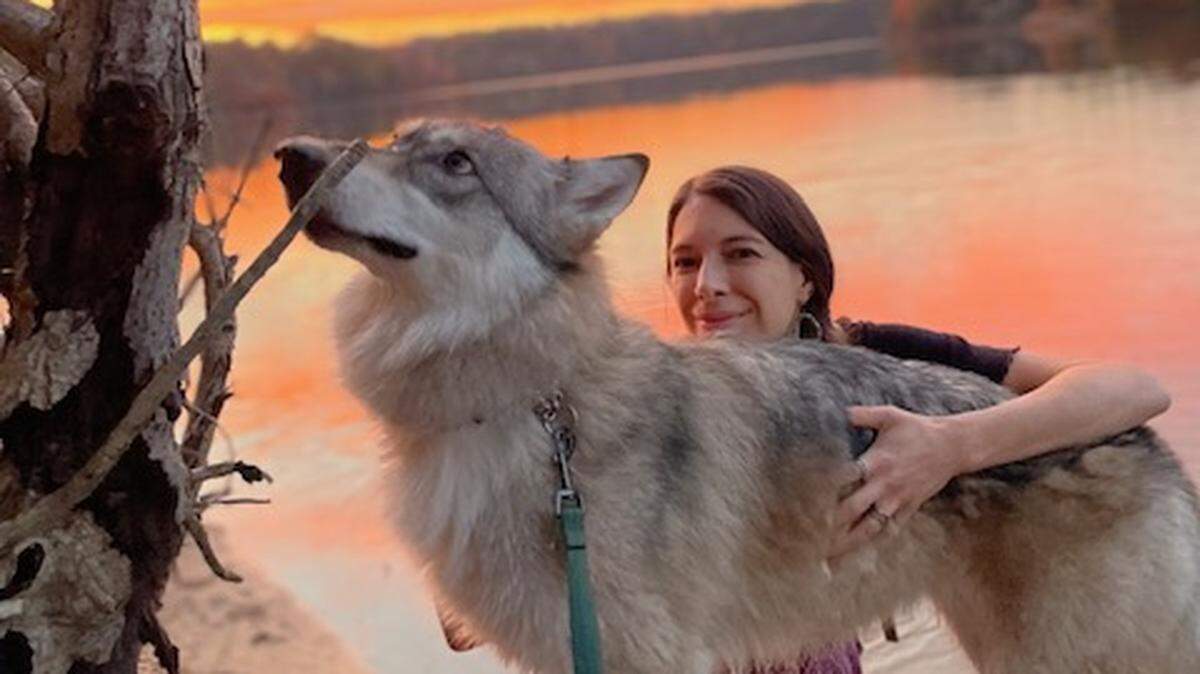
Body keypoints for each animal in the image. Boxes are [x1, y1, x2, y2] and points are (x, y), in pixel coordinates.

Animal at [275, 119, 1200, 674]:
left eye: (455, 163)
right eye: (394, 141)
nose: (293, 157)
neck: (534, 404)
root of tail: (1152, 445)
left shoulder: (646, 654)